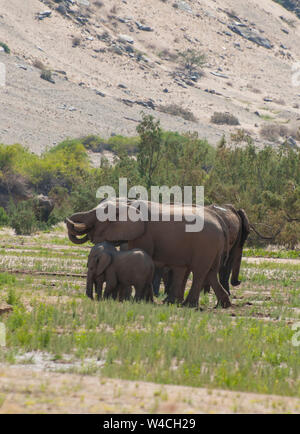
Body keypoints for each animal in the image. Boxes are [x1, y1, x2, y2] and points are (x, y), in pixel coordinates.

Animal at [67, 200, 231, 308]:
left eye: (96, 216)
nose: (67, 219)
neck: (126, 203)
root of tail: (219, 221)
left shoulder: (144, 235)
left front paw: (136, 300)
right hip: (214, 246)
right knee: (211, 272)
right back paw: (223, 305)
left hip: (206, 244)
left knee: (199, 272)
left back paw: (188, 305)